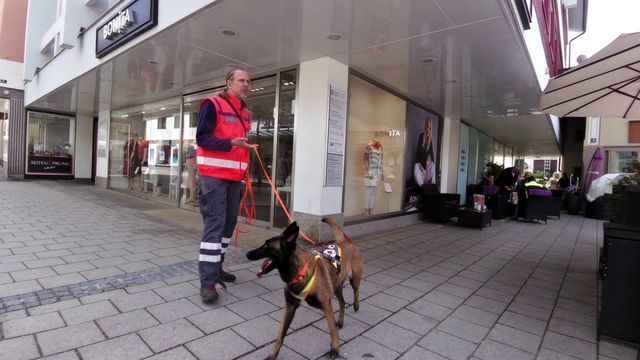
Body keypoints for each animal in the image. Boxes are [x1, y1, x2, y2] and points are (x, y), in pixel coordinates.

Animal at [246, 218, 362, 358]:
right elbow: (280, 335)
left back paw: (356, 305)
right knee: (342, 302)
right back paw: (340, 321)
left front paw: (335, 349)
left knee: (356, 291)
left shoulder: (326, 306)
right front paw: (273, 355)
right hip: (336, 286)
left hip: (354, 279)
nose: (247, 254)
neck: (299, 272)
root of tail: (346, 241)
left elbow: (332, 330)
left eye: (267, 246)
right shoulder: (290, 307)